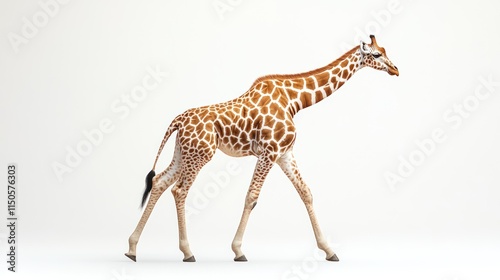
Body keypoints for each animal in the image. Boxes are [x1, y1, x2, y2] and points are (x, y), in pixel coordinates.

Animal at [124, 34, 398, 262]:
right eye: (376, 55)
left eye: (385, 50)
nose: (395, 69)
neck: (294, 101)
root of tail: (178, 121)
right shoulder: (269, 152)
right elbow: (252, 197)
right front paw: (238, 251)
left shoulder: (285, 153)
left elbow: (306, 192)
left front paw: (329, 251)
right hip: (201, 155)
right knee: (179, 190)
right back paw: (188, 252)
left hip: (183, 153)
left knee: (159, 182)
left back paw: (132, 248)